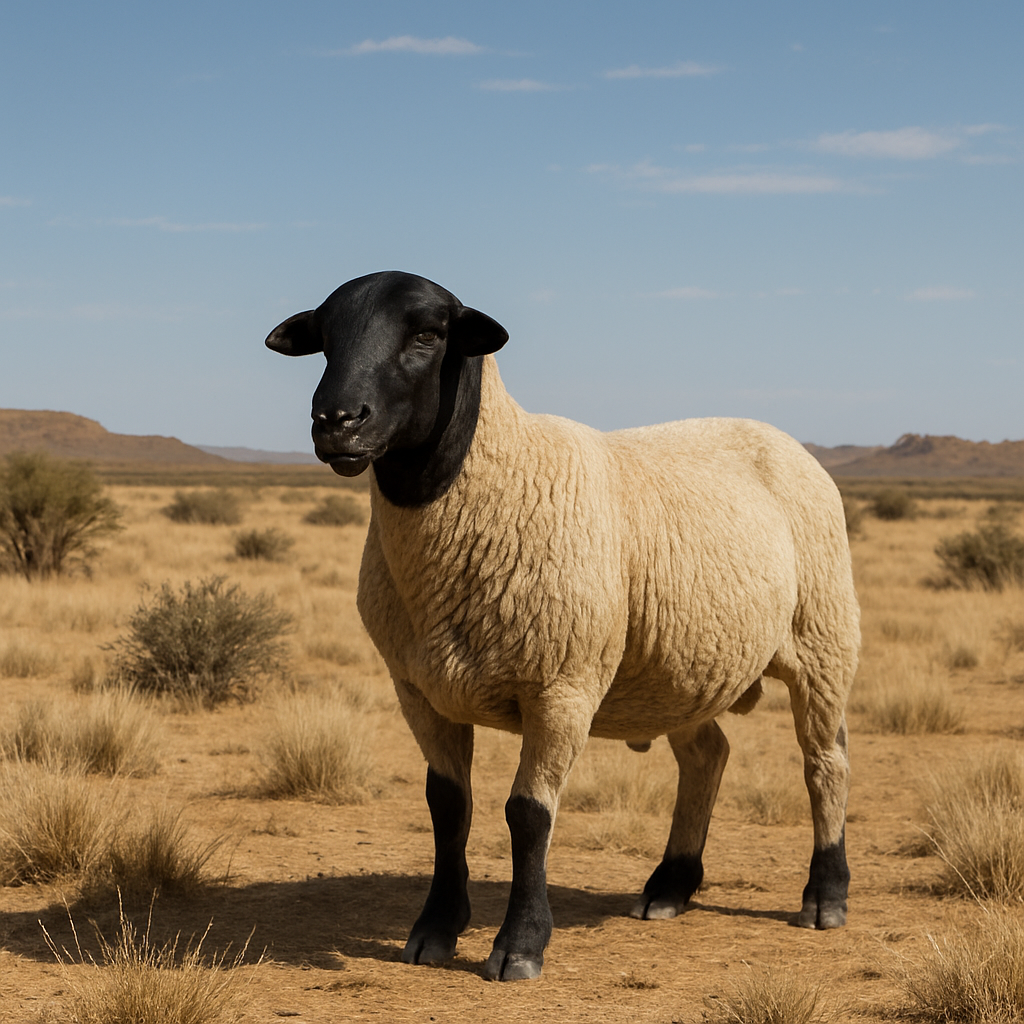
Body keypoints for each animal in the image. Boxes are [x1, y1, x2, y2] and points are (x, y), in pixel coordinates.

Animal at [266, 271, 860, 982]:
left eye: (428, 335)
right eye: (325, 339)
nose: (335, 421)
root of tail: (781, 437)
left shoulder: (562, 686)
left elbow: (527, 815)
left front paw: (519, 946)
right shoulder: (418, 691)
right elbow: (448, 807)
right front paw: (434, 930)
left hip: (823, 638)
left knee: (825, 763)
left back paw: (825, 897)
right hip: (684, 666)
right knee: (707, 755)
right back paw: (669, 886)